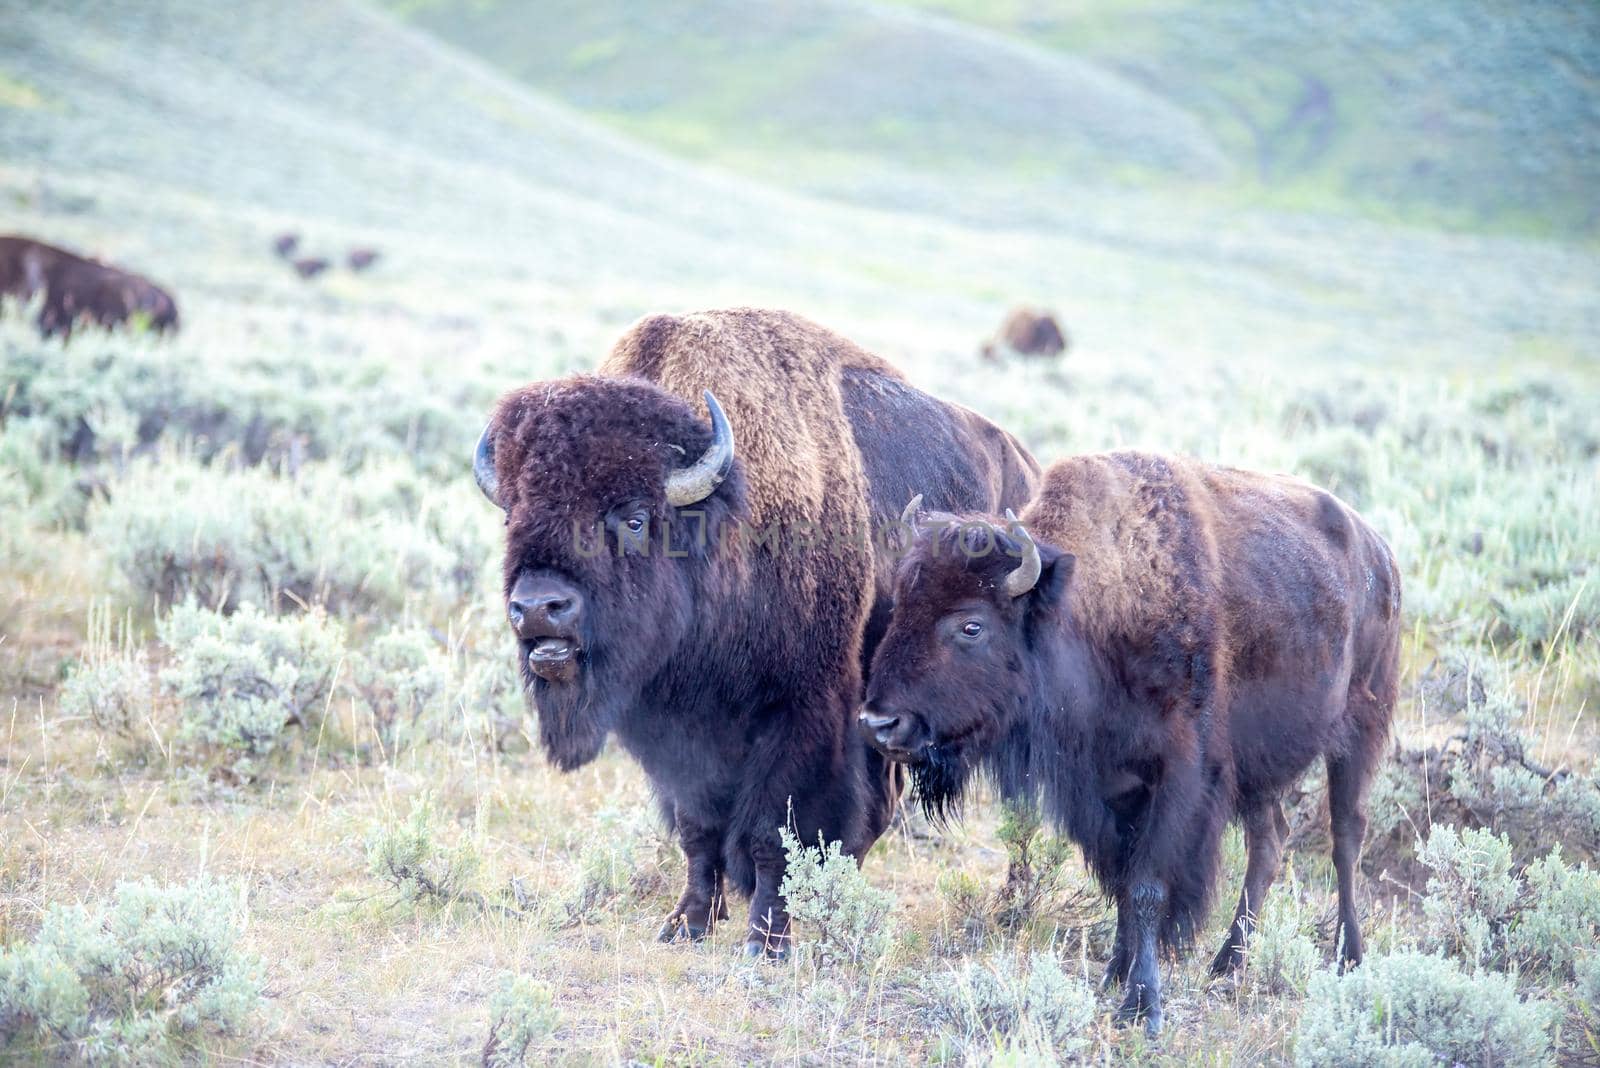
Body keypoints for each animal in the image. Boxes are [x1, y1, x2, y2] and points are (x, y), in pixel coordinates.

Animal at [470, 306, 1036, 952]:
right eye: (515, 517)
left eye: (634, 518)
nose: (539, 607)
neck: (723, 521)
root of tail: (1026, 468)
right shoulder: (673, 733)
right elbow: (697, 826)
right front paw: (687, 922)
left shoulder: (802, 714)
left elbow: (773, 830)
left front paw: (766, 940)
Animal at [864, 454, 1401, 1036]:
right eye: (900, 605)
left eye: (971, 626)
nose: (880, 722)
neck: (1098, 607)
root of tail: (1380, 554)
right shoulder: (1107, 789)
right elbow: (1121, 882)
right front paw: (1115, 974)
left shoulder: (1179, 778)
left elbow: (1146, 886)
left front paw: (1142, 1005)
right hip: (1259, 772)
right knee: (1270, 841)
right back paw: (1227, 962)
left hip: (1360, 729)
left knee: (1345, 837)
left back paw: (1349, 956)